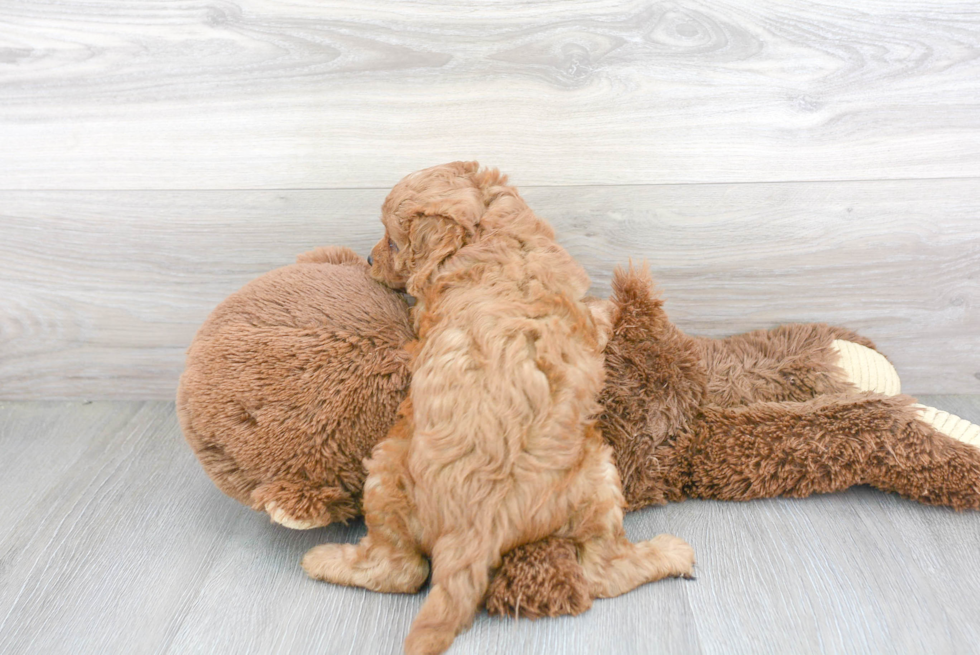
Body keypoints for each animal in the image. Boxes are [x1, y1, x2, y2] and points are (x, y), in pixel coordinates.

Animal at [302, 163, 692, 655]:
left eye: (392, 242)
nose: (369, 262)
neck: (492, 235)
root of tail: (475, 528)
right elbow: (598, 316)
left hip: (389, 470)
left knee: (405, 570)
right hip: (595, 475)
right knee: (601, 571)